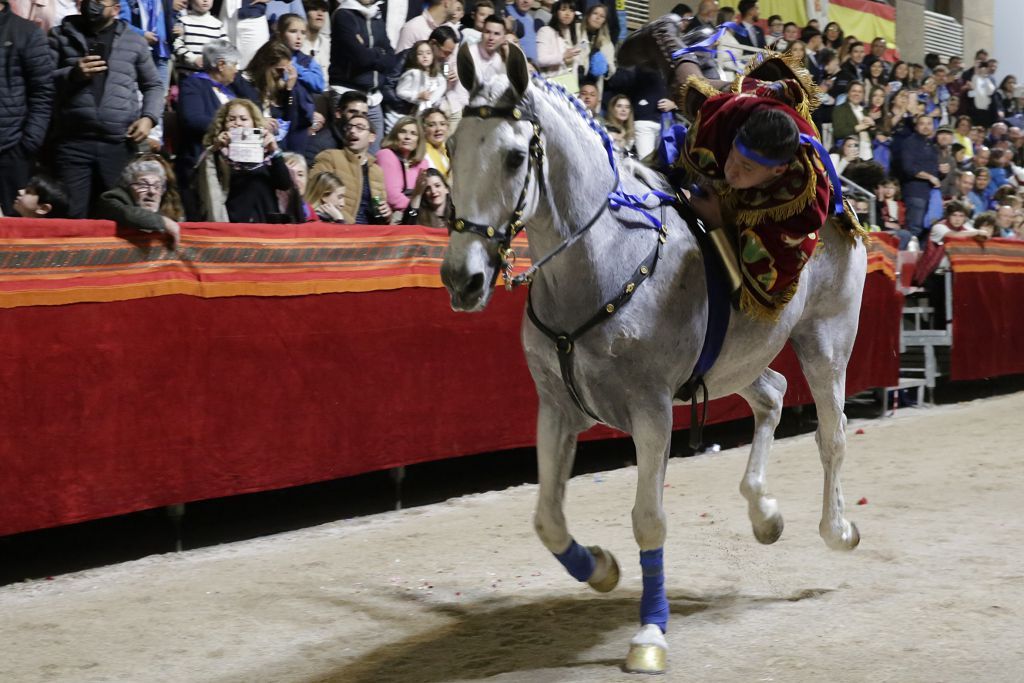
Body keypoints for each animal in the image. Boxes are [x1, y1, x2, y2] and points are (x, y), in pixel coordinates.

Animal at [440, 46, 864, 671]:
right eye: (450, 146)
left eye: (516, 156)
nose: (462, 279)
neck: (603, 259)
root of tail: (842, 202)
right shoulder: (556, 406)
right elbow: (547, 520)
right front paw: (601, 569)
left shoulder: (652, 410)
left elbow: (648, 520)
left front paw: (649, 634)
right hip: (735, 361)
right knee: (772, 395)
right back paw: (764, 513)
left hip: (826, 338)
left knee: (831, 434)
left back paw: (837, 528)